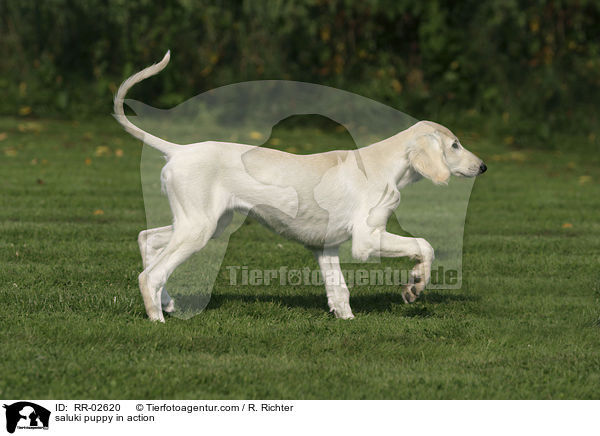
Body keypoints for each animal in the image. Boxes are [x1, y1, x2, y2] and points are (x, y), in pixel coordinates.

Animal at [113, 52, 488, 324]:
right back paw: (157, 319)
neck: (385, 165)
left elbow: (339, 292)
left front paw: (347, 321)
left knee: (147, 241)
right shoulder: (367, 240)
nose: (483, 166)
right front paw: (415, 286)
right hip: (199, 229)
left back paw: (167, 303)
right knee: (150, 274)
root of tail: (179, 150)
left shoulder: (327, 247)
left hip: (204, 224)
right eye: (455, 145)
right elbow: (424, 245)